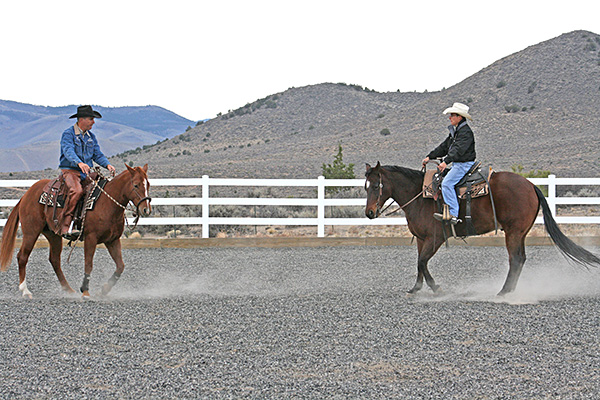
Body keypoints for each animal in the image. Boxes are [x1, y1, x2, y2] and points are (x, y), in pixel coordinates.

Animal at [0, 164, 150, 298]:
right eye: (136, 185)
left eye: (148, 184)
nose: (146, 209)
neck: (107, 203)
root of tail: (26, 195)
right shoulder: (91, 238)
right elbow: (88, 264)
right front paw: (85, 291)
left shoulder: (112, 240)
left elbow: (120, 266)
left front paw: (104, 290)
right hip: (31, 232)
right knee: (22, 257)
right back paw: (25, 291)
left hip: (53, 234)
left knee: (54, 260)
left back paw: (68, 289)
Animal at [364, 161, 600, 296]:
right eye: (365, 187)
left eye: (376, 185)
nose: (369, 213)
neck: (420, 195)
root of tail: (531, 185)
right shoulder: (422, 239)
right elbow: (419, 263)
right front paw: (416, 288)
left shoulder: (435, 238)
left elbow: (422, 262)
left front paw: (436, 288)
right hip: (521, 233)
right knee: (521, 259)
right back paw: (510, 289)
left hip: (513, 232)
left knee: (515, 259)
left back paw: (503, 292)